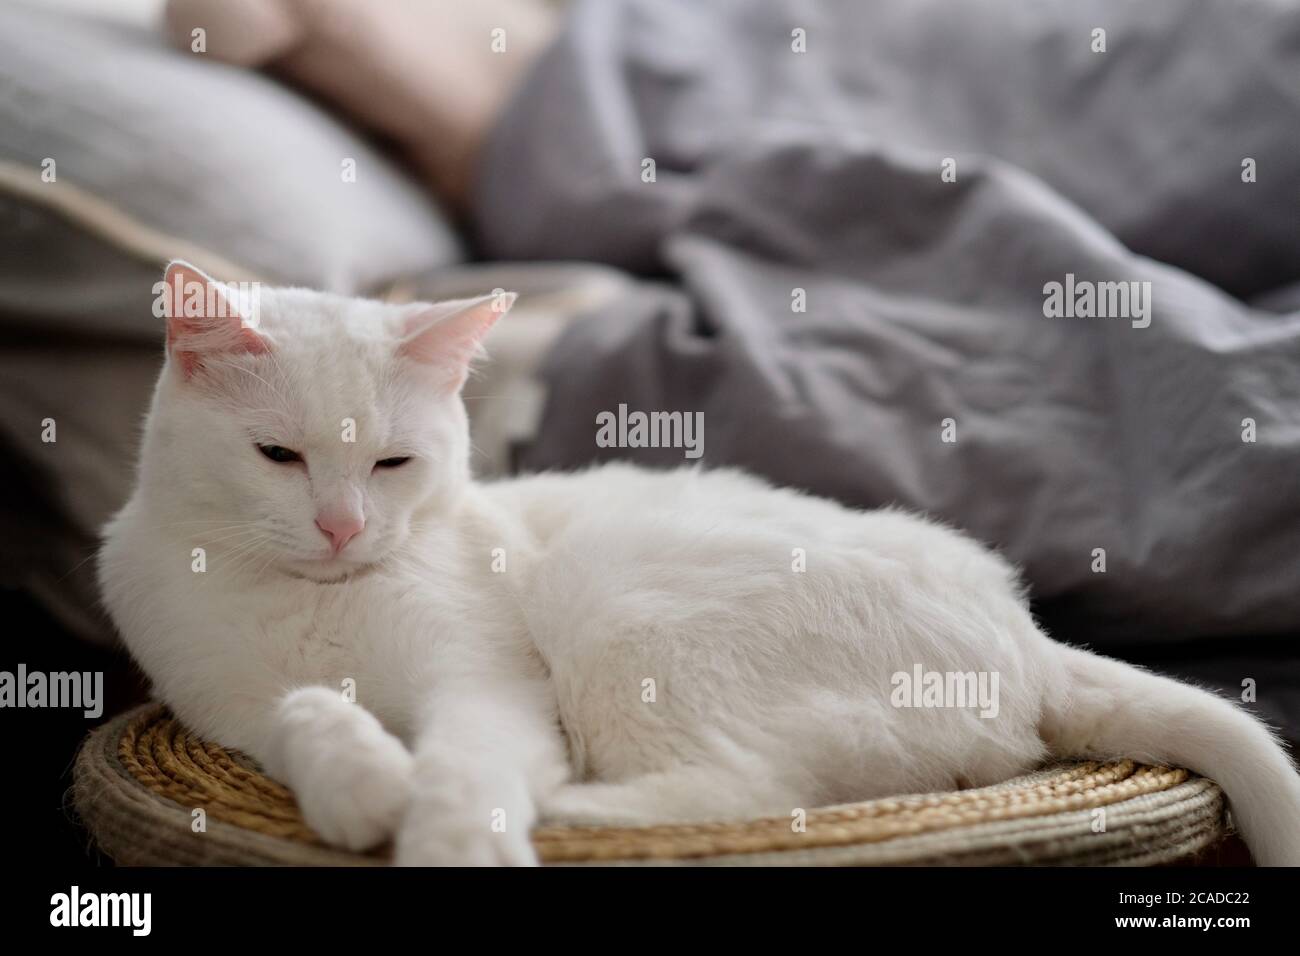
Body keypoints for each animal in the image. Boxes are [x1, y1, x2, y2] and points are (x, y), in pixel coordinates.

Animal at [101, 261, 1300, 868]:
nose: (344, 527)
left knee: (747, 787)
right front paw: (360, 782)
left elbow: (467, 768)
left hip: (615, 605)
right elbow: (307, 711)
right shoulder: (230, 707)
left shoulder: (484, 680)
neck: (320, 599)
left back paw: (570, 806)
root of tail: (1033, 639)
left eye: (392, 462)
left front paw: (443, 833)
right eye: (280, 457)